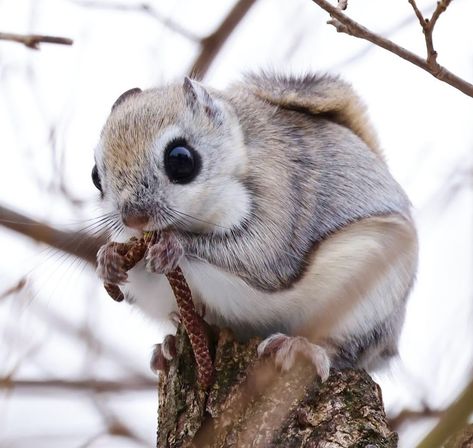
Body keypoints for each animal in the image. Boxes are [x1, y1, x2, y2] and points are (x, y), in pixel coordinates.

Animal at [92, 72, 416, 380]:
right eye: (96, 175)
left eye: (181, 159)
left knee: (348, 349)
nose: (134, 218)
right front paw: (109, 259)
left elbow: (260, 256)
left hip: (369, 294)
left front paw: (174, 244)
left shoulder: (279, 198)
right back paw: (168, 346)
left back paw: (301, 347)